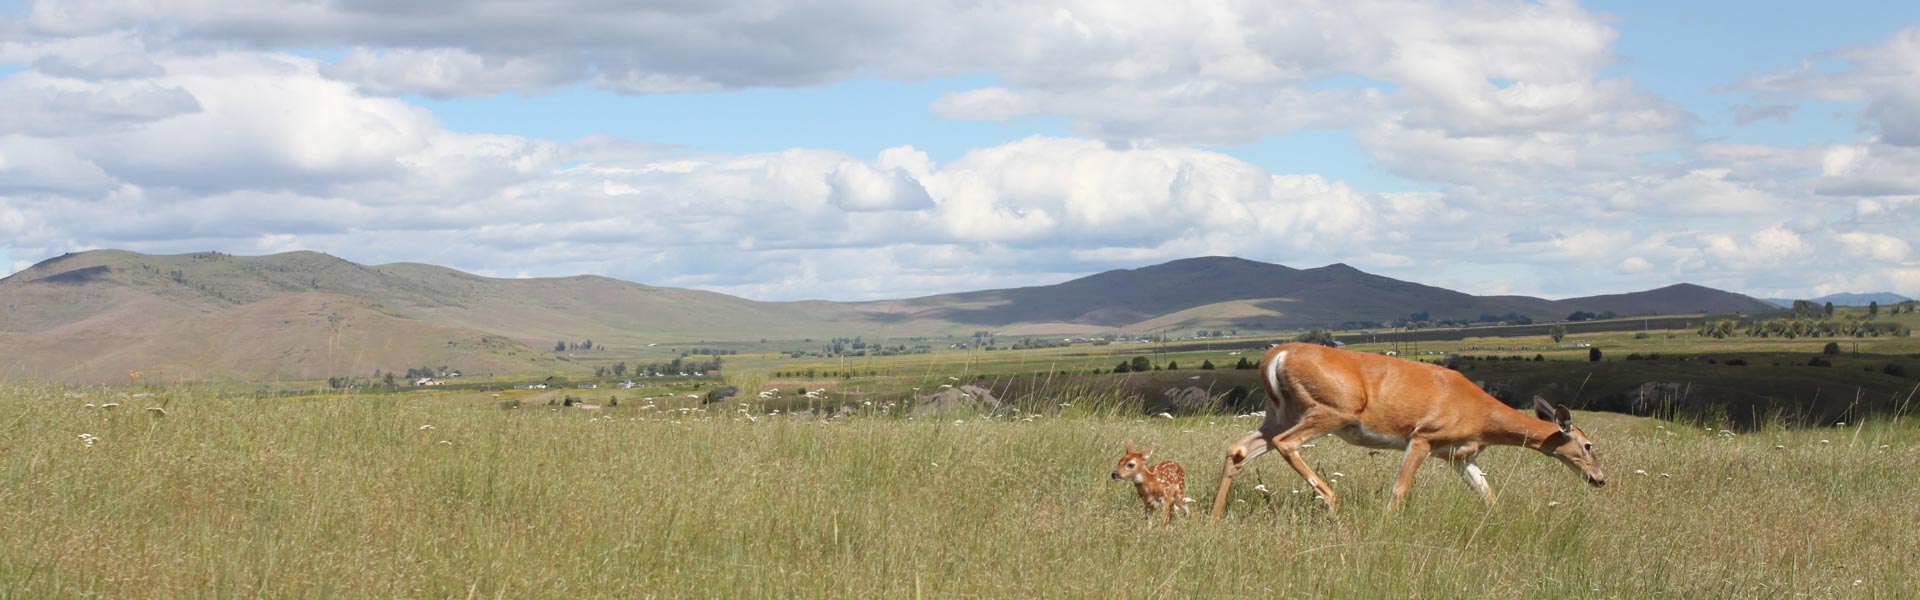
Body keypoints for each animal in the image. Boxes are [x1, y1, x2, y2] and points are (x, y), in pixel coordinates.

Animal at [1213, 342, 1605, 519]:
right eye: (1588, 445)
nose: (1600, 480)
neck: (1481, 417)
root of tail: (1275, 356)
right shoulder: (1424, 435)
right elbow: (1399, 491)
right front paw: (1387, 525)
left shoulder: (1460, 456)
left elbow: (1489, 495)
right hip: (1331, 409)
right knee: (1286, 443)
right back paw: (1334, 501)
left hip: (1279, 412)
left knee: (1239, 448)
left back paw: (1214, 517)